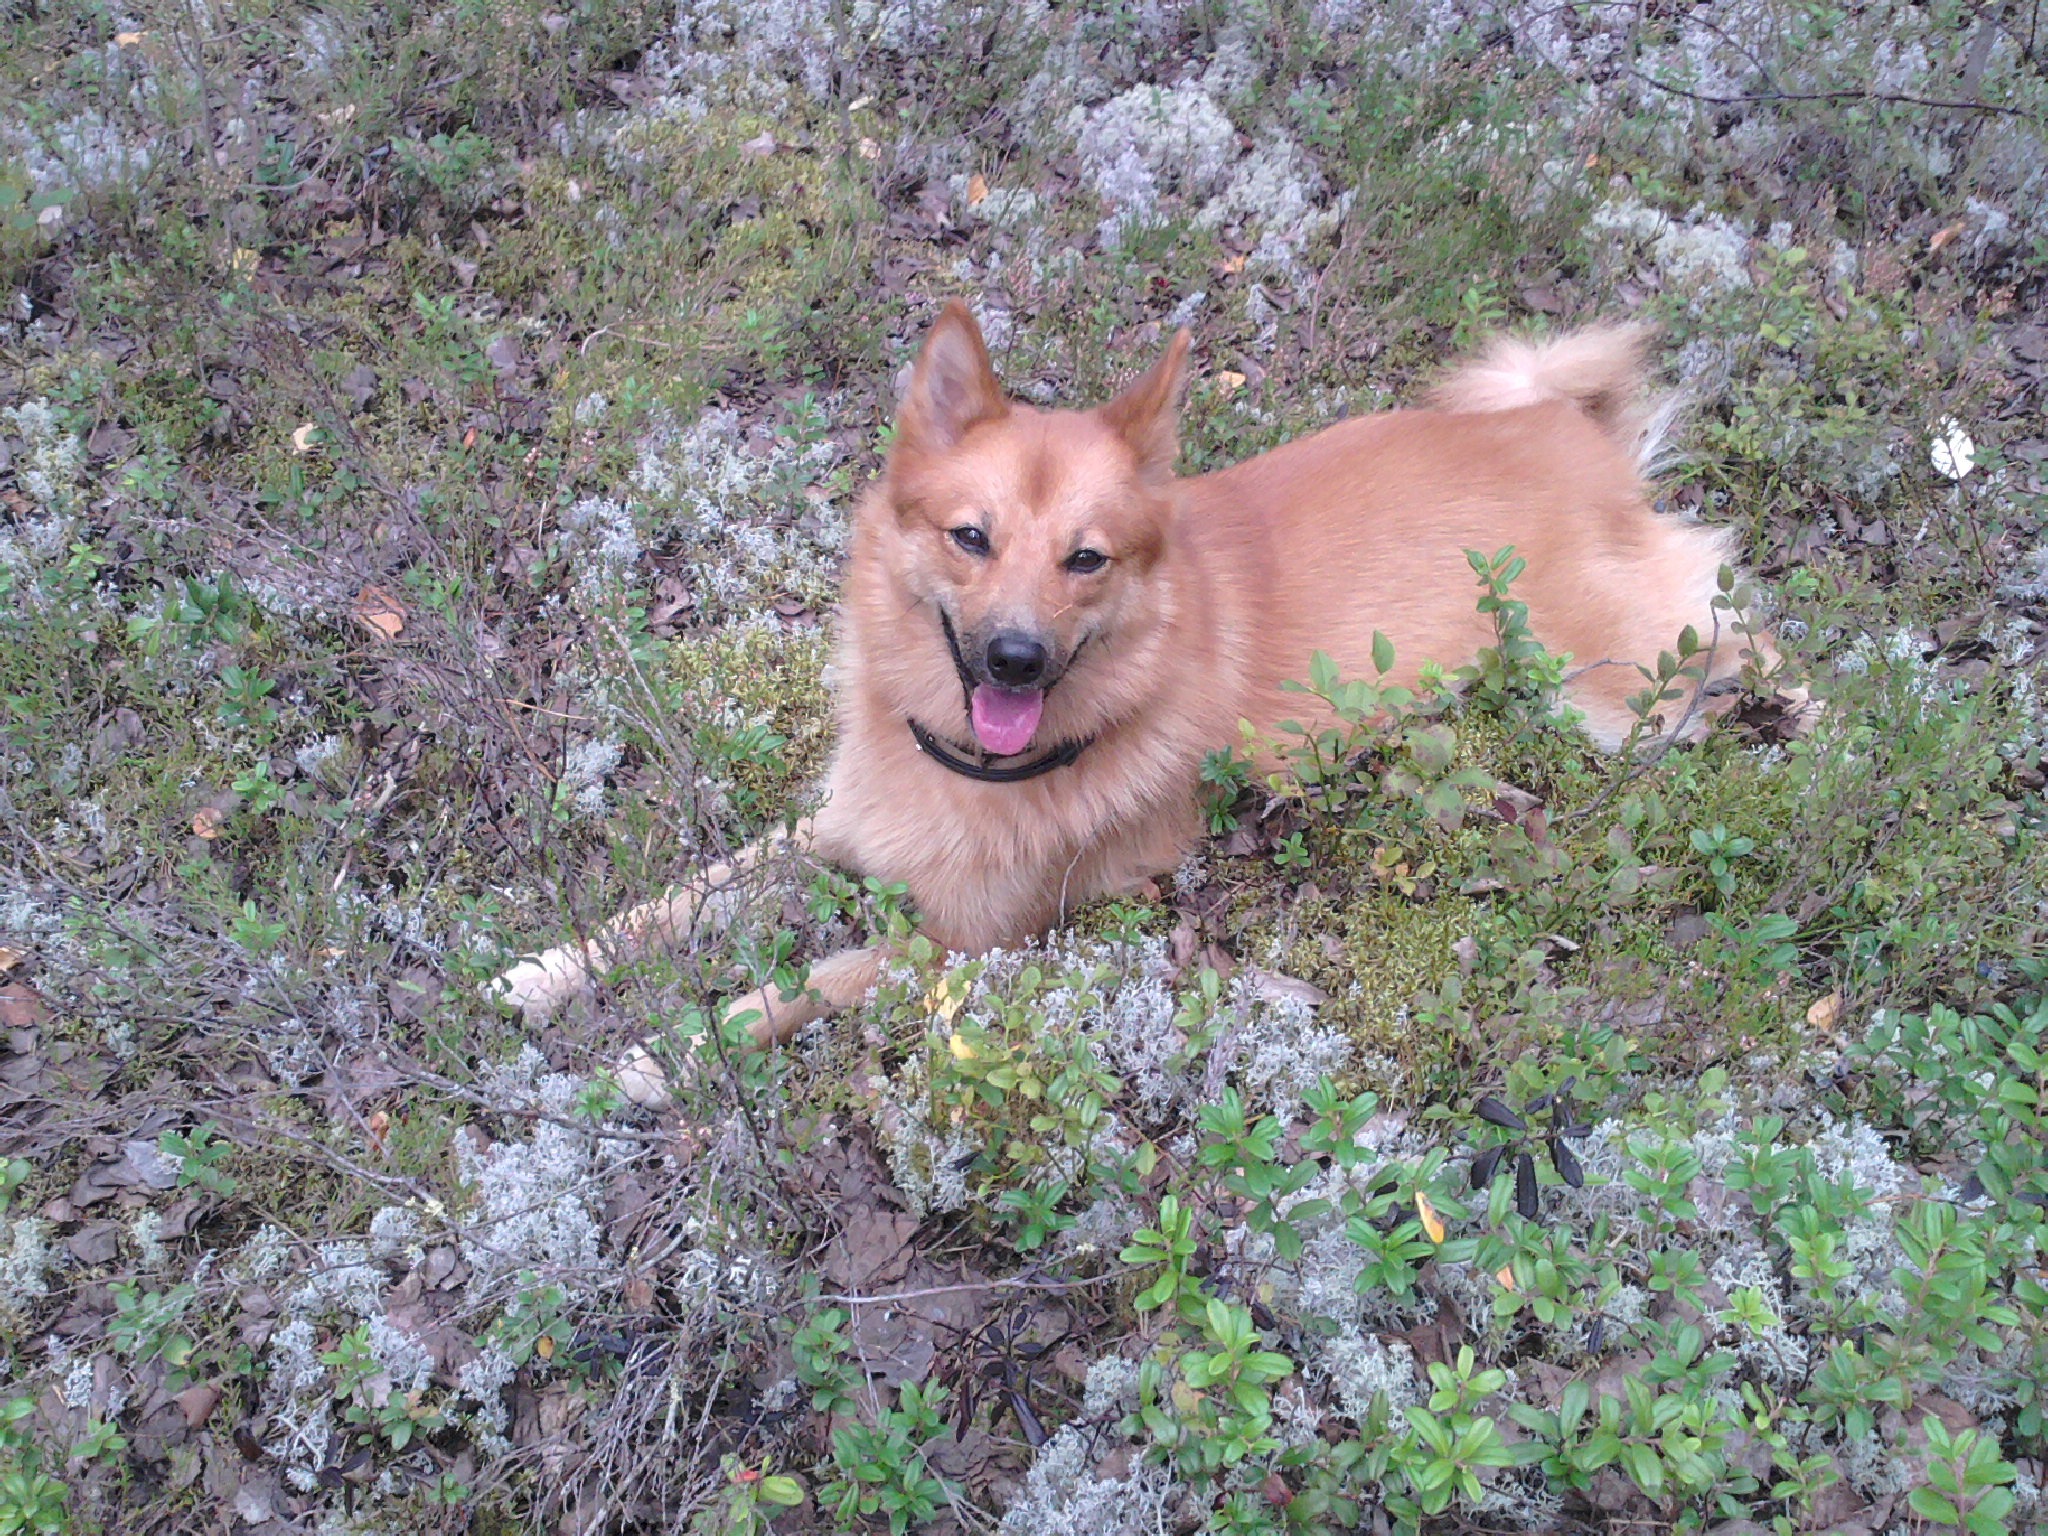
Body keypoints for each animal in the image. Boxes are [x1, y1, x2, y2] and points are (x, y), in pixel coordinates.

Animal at [494, 302, 1786, 1081]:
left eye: (1087, 559)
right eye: (969, 537)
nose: (1014, 660)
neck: (970, 764)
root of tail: (1560, 425)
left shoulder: (966, 940)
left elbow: (813, 977)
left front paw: (671, 1055)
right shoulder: (842, 824)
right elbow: (684, 895)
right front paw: (543, 973)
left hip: (1602, 688)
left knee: (1740, 631)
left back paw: (1789, 717)